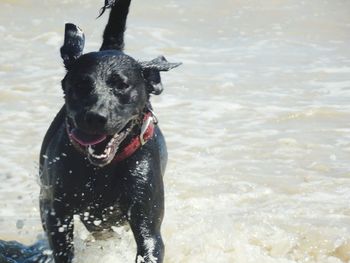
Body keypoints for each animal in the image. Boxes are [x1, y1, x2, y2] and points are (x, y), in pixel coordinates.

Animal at [38, 1, 180, 262]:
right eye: (81, 85)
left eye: (122, 85)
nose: (95, 116)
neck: (102, 171)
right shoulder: (56, 210)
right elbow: (61, 243)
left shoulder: (147, 223)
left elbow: (149, 241)